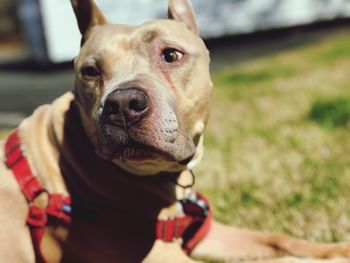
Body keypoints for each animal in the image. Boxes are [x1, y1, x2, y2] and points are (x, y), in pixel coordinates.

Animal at [1, 0, 350, 263]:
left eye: (171, 55)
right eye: (90, 71)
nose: (123, 104)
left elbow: (278, 239)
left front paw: (337, 249)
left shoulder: (211, 234)